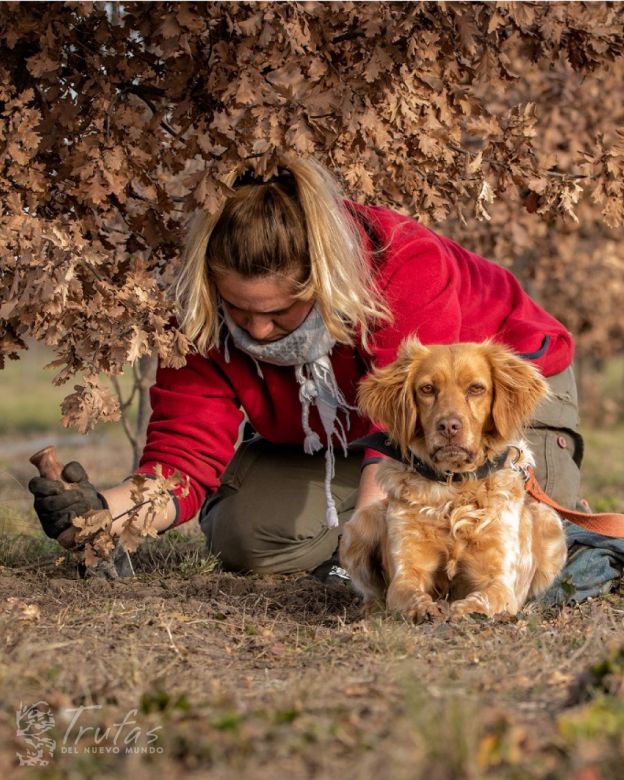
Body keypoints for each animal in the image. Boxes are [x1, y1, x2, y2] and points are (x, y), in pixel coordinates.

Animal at [338, 340, 568, 620]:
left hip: (550, 520)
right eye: (427, 389)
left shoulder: (499, 577)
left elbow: (487, 597)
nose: (448, 426)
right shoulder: (406, 570)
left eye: (476, 388)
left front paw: (467, 609)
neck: (454, 487)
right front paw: (424, 608)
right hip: (360, 522)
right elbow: (408, 591)